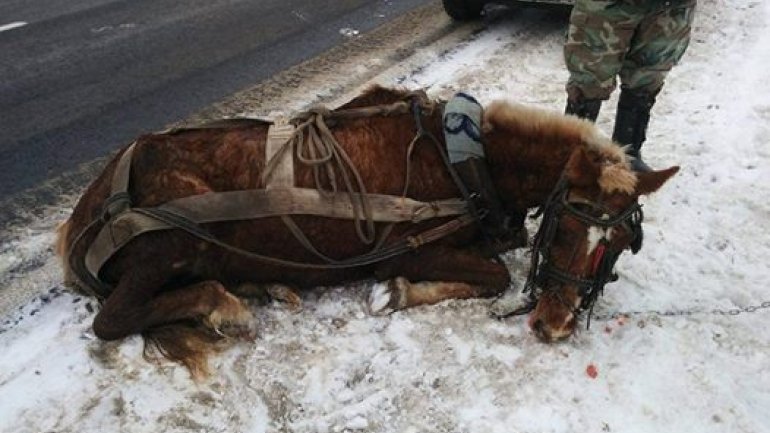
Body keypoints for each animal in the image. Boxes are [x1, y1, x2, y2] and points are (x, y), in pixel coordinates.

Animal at [55, 85, 680, 374]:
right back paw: (225, 305)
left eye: (617, 243)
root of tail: (84, 214)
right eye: (568, 225)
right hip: (173, 237)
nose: (555, 324)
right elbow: (492, 274)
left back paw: (265, 285)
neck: (464, 160)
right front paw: (400, 292)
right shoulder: (407, 248)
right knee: (114, 317)